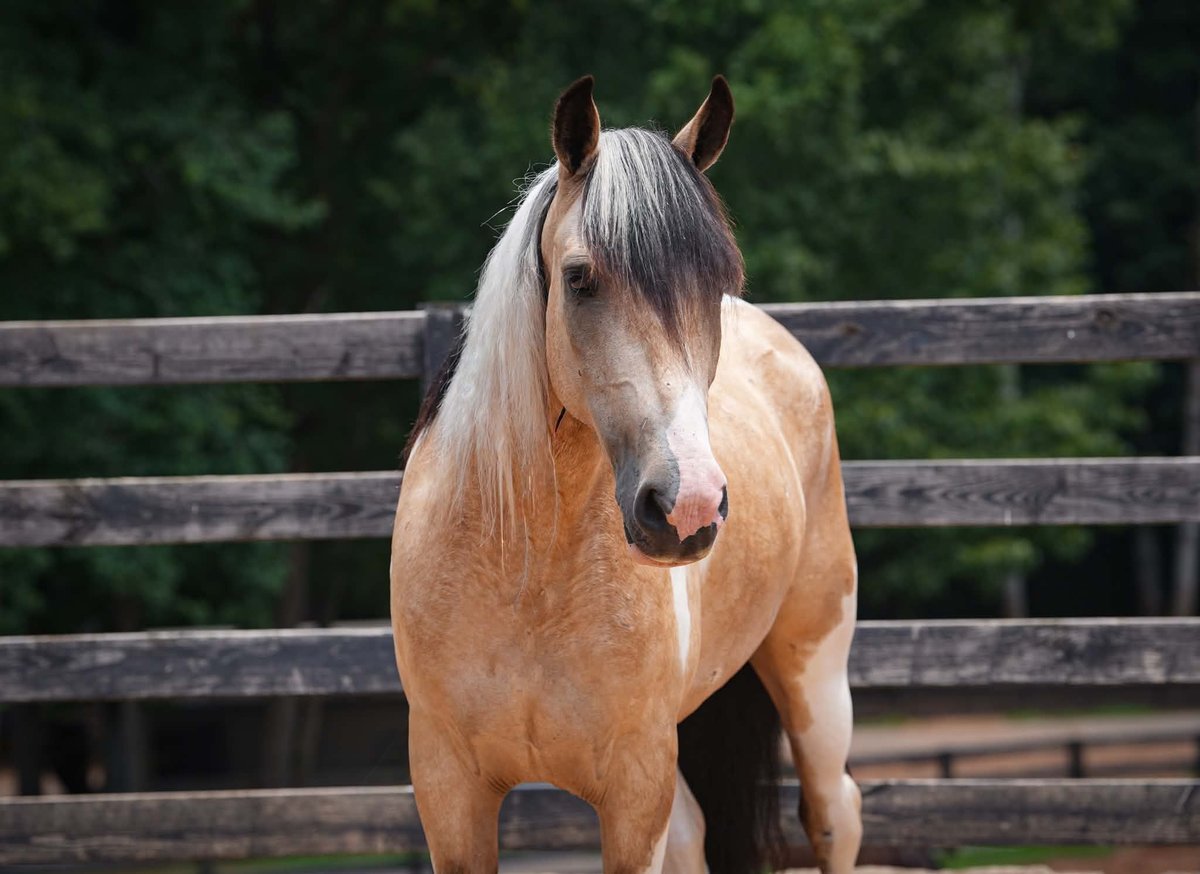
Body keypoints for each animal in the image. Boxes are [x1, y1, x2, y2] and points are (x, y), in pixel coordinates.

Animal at [390, 75, 861, 874]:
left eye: (717, 283)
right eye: (580, 278)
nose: (687, 505)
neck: (526, 572)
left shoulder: (636, 788)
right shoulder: (448, 788)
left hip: (816, 673)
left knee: (834, 814)